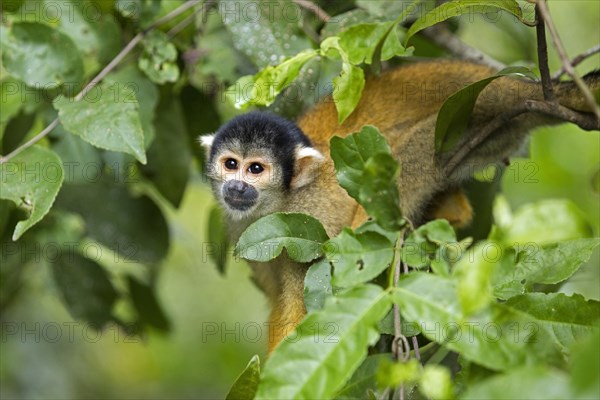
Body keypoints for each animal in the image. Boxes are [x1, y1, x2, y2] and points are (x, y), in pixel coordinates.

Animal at [203, 60, 600, 354]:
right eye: (231, 164)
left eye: (256, 169)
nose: (236, 186)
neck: (279, 201)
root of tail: (523, 88)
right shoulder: (246, 231)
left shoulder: (307, 216)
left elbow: (306, 300)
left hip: (470, 120)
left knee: (406, 157)